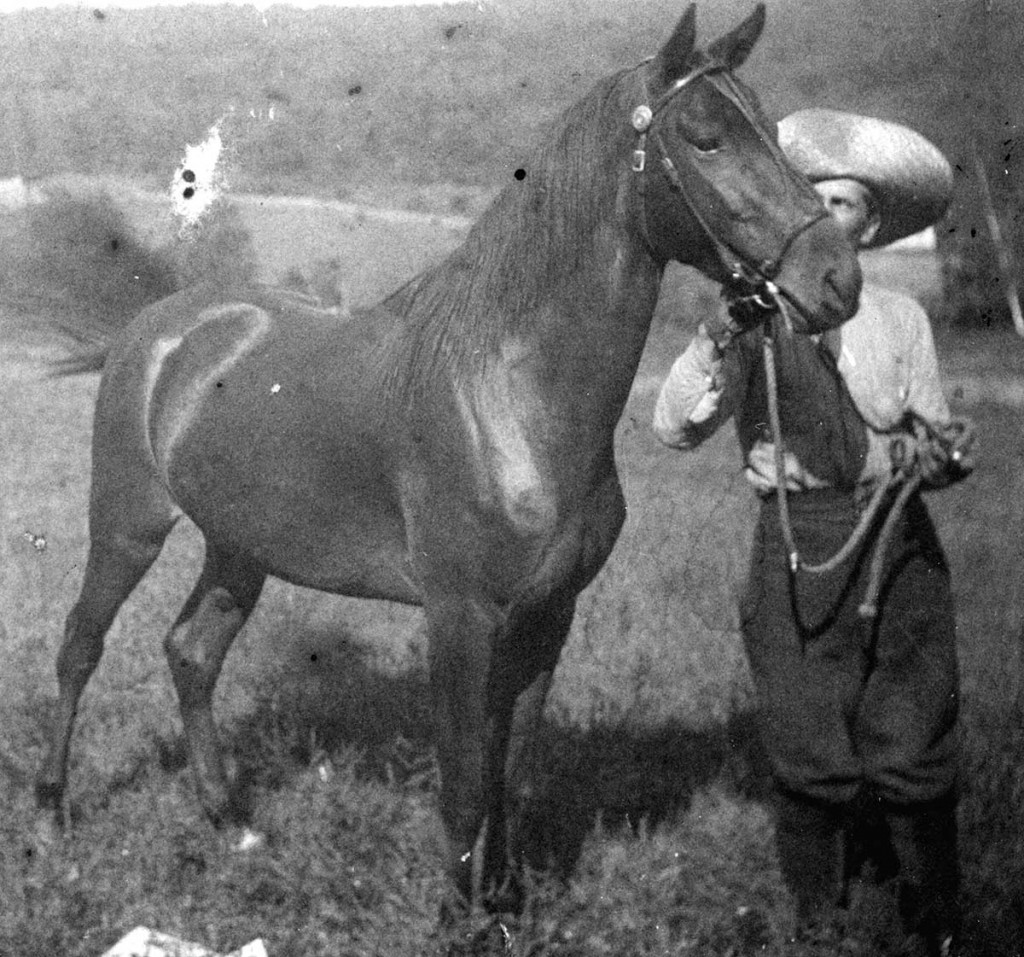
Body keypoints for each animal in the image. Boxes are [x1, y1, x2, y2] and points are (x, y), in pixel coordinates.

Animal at [32, 3, 860, 908]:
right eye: (706, 137)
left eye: (771, 129)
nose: (838, 278)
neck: (510, 398)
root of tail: (162, 327)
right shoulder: (460, 617)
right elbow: (464, 783)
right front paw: (454, 915)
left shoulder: (547, 615)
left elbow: (511, 774)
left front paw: (503, 904)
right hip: (128, 526)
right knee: (80, 647)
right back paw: (52, 814)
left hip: (238, 546)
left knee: (191, 652)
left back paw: (230, 821)